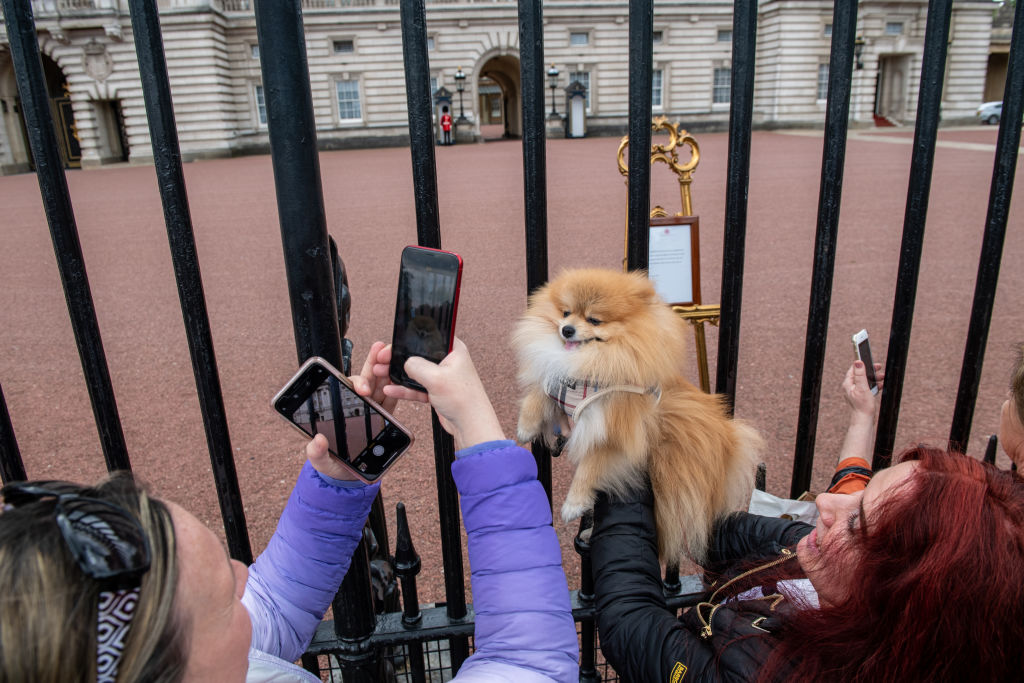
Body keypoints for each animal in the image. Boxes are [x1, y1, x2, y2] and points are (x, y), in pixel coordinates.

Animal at [516, 270, 765, 565]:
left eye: (594, 320)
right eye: (566, 313)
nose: (566, 329)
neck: (590, 364)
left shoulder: (616, 433)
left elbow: (590, 467)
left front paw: (573, 504)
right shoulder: (559, 380)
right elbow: (540, 392)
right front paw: (525, 427)